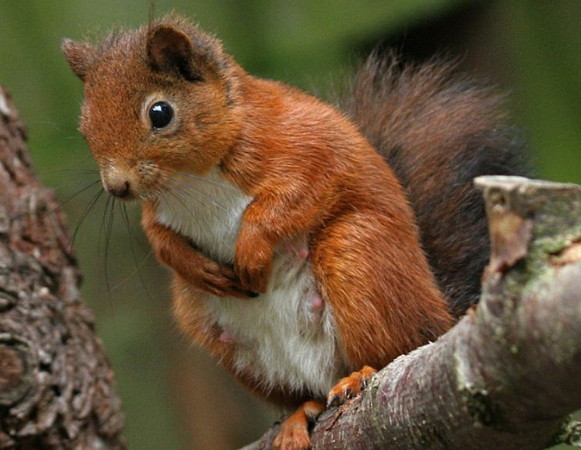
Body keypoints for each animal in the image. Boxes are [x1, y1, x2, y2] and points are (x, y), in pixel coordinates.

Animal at [62, 14, 524, 450]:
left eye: (160, 113)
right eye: (84, 125)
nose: (117, 186)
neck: (190, 178)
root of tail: (440, 312)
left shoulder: (303, 148)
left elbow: (292, 198)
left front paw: (251, 249)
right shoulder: (156, 211)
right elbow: (160, 240)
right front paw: (196, 266)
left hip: (356, 255)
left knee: (397, 347)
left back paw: (360, 374)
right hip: (215, 332)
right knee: (307, 390)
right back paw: (300, 413)